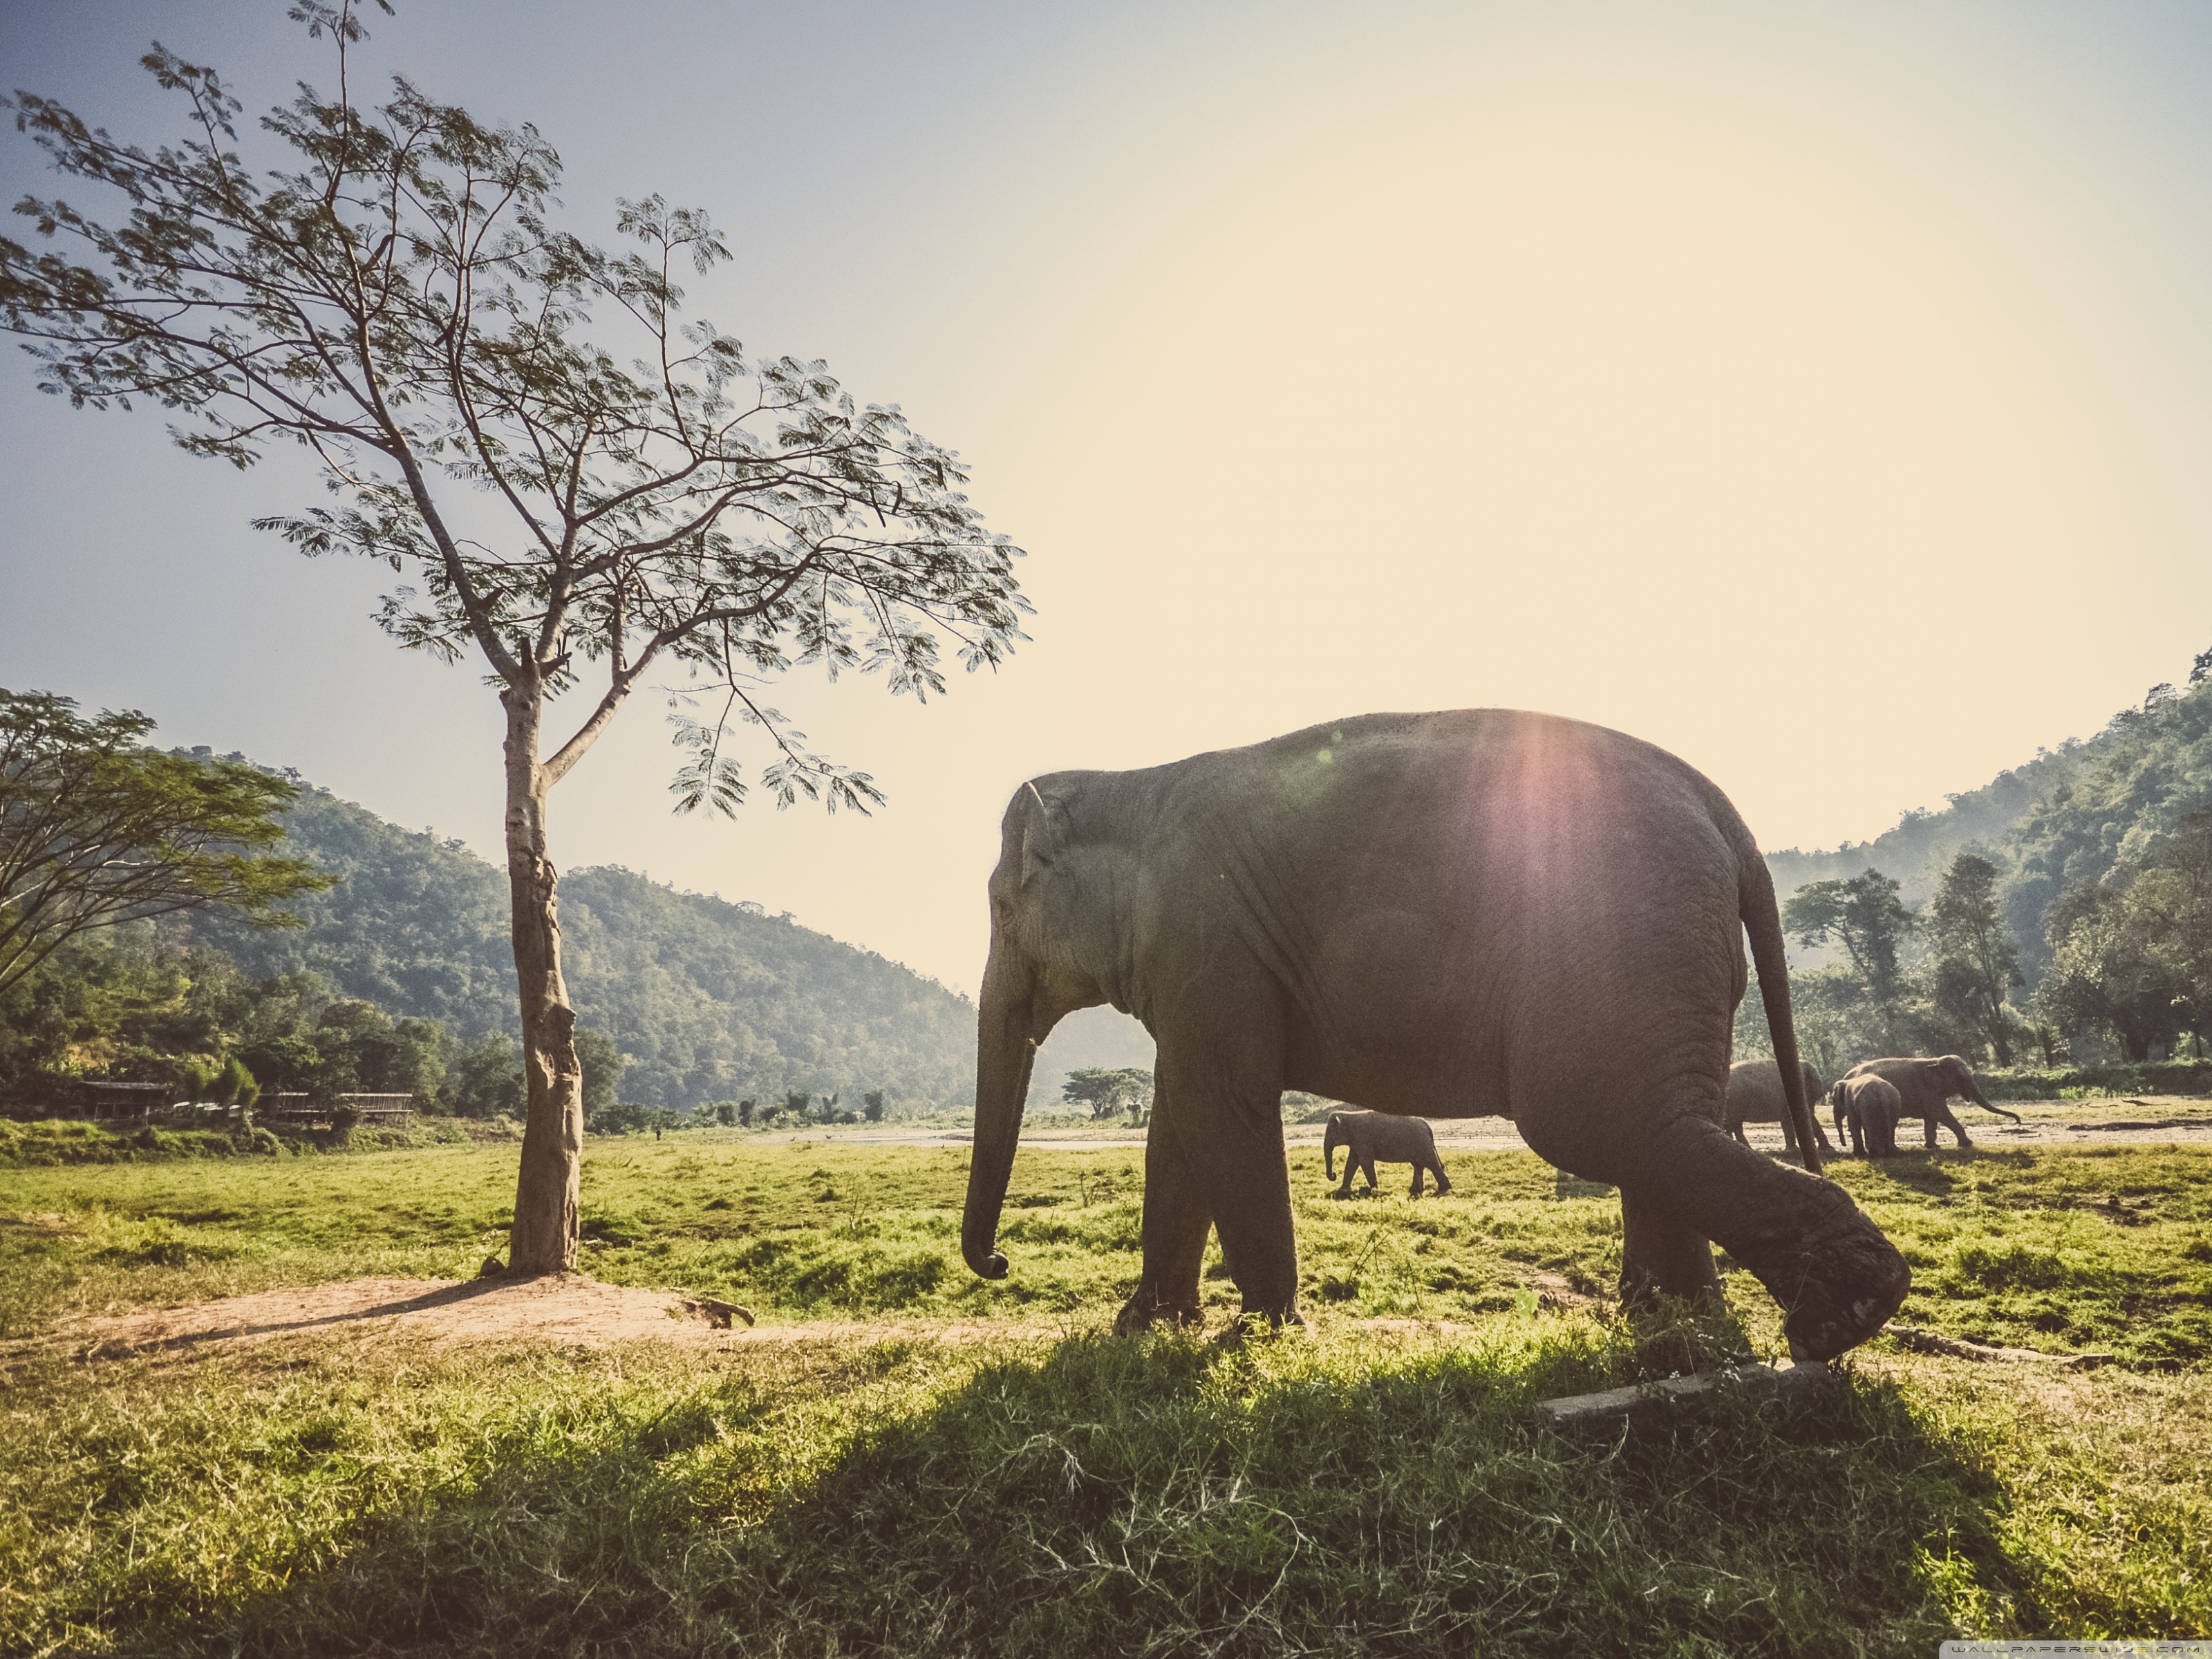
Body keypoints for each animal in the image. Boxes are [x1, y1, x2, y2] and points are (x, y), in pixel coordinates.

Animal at [1323, 1110, 1452, 1197]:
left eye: (1330, 1133)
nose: (1334, 1175)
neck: (1348, 1115)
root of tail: (1427, 1126)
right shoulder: (1356, 1141)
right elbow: (1352, 1162)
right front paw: (1343, 1191)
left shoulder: (1362, 1139)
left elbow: (1365, 1161)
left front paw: (1375, 1190)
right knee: (1418, 1165)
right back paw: (1415, 1190)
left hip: (1422, 1144)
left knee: (1431, 1164)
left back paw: (1444, 1189)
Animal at [1725, 1058, 1834, 1154]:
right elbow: (1789, 1120)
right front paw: (1792, 1150)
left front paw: (1828, 1149)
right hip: (1735, 1102)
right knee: (1735, 1125)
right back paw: (1746, 1147)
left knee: (1731, 1124)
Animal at [1834, 1055, 2022, 1149]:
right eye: (1961, 1078)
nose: (2018, 1121)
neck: (1934, 1061)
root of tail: (1846, 1075)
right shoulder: (1927, 1091)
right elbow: (1940, 1113)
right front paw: (1968, 1144)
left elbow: (1932, 1119)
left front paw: (1933, 1147)